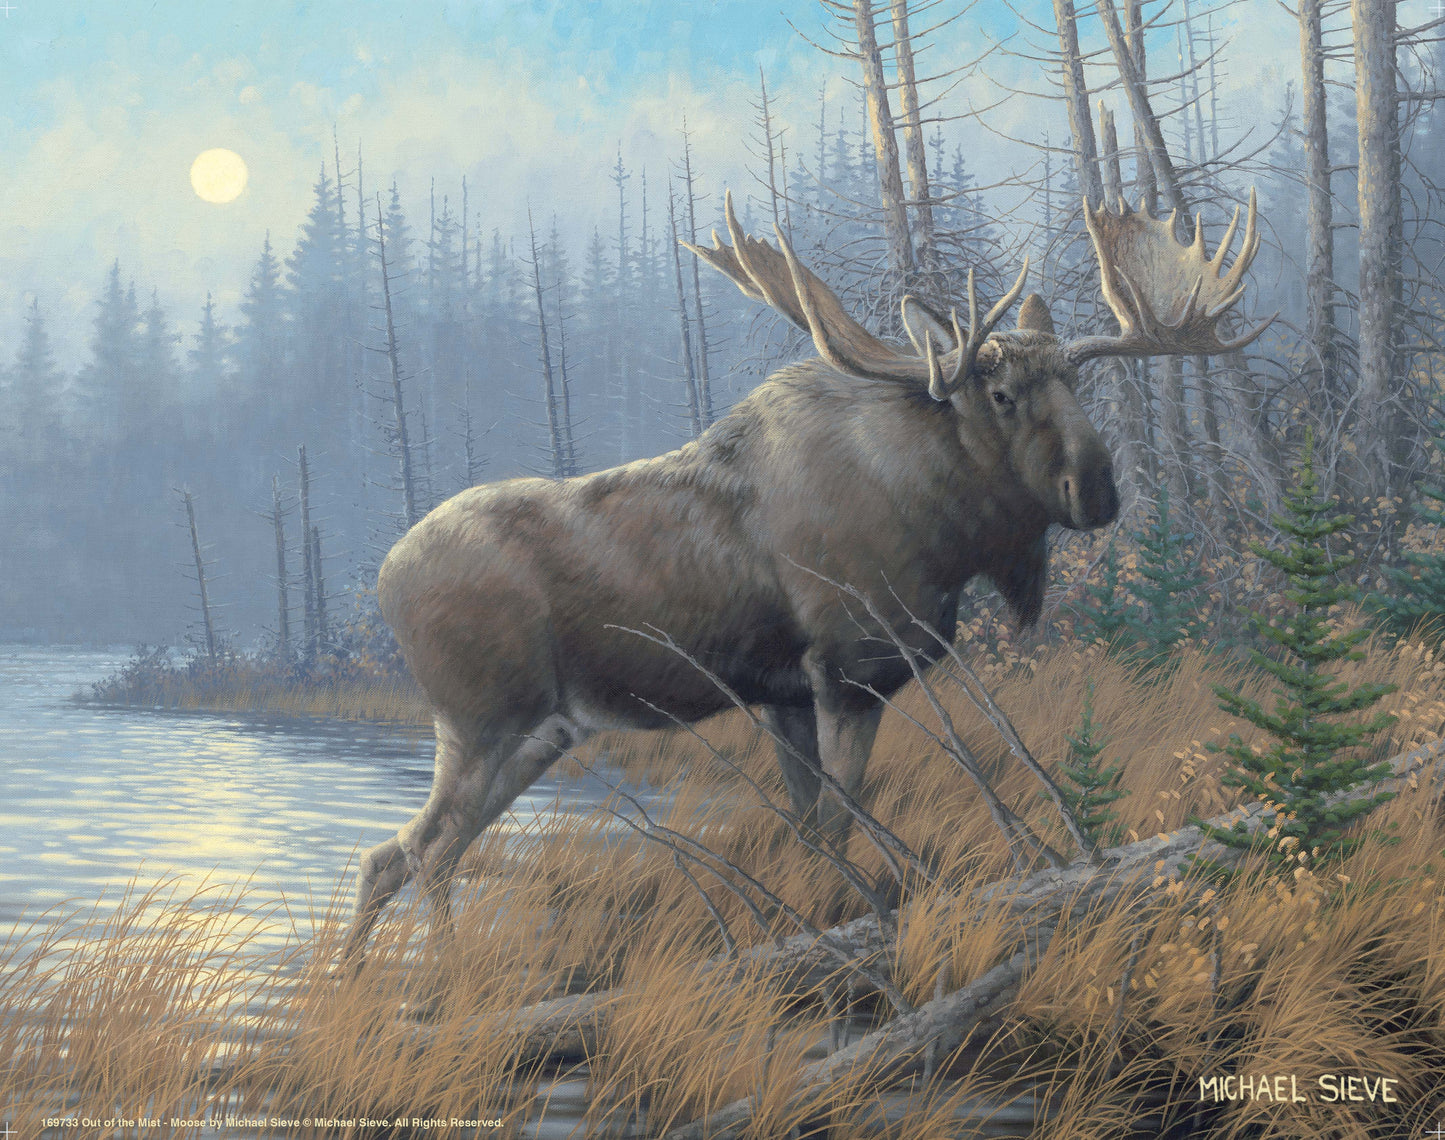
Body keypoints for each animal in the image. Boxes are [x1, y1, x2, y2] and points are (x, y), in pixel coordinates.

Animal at [341, 190, 1271, 965]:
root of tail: (382, 579)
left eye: (1078, 379)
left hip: (542, 730)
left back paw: (351, 981)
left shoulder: (784, 693)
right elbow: (835, 828)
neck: (944, 532)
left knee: (393, 852)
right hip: (483, 719)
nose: (1098, 490)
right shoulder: (850, 672)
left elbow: (809, 831)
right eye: (1001, 393)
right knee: (424, 849)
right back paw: (444, 981)